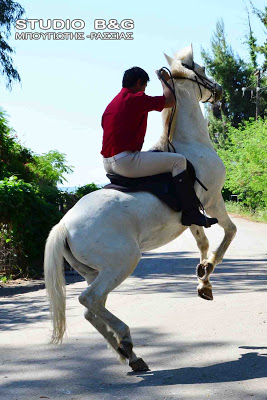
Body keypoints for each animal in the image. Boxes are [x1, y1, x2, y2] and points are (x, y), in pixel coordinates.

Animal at [44, 44, 239, 372]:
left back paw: (130, 355)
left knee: (92, 309)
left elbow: (202, 241)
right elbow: (228, 233)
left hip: (94, 270)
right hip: (121, 263)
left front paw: (203, 280)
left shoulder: (193, 216)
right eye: (200, 69)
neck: (191, 145)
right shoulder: (214, 201)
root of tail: (64, 225)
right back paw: (126, 341)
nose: (219, 91)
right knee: (88, 301)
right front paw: (208, 270)